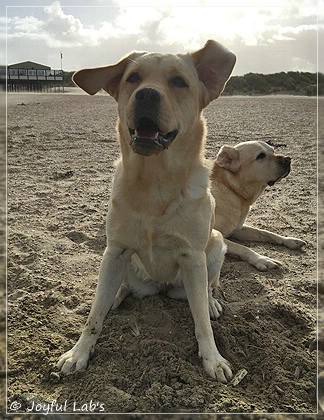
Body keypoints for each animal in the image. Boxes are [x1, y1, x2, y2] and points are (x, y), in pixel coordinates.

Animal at [57, 40, 235, 384]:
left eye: (179, 81)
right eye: (133, 78)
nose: (147, 95)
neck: (155, 182)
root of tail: (161, 286)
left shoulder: (193, 257)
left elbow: (202, 323)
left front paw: (213, 358)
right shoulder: (115, 249)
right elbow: (93, 315)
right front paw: (79, 353)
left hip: (217, 244)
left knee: (208, 287)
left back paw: (210, 303)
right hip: (120, 264)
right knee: (116, 290)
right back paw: (116, 295)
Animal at [210, 141, 306, 270]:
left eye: (273, 150)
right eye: (260, 156)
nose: (288, 159)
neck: (232, 190)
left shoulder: (238, 229)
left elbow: (265, 232)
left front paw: (287, 240)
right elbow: (243, 247)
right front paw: (262, 259)